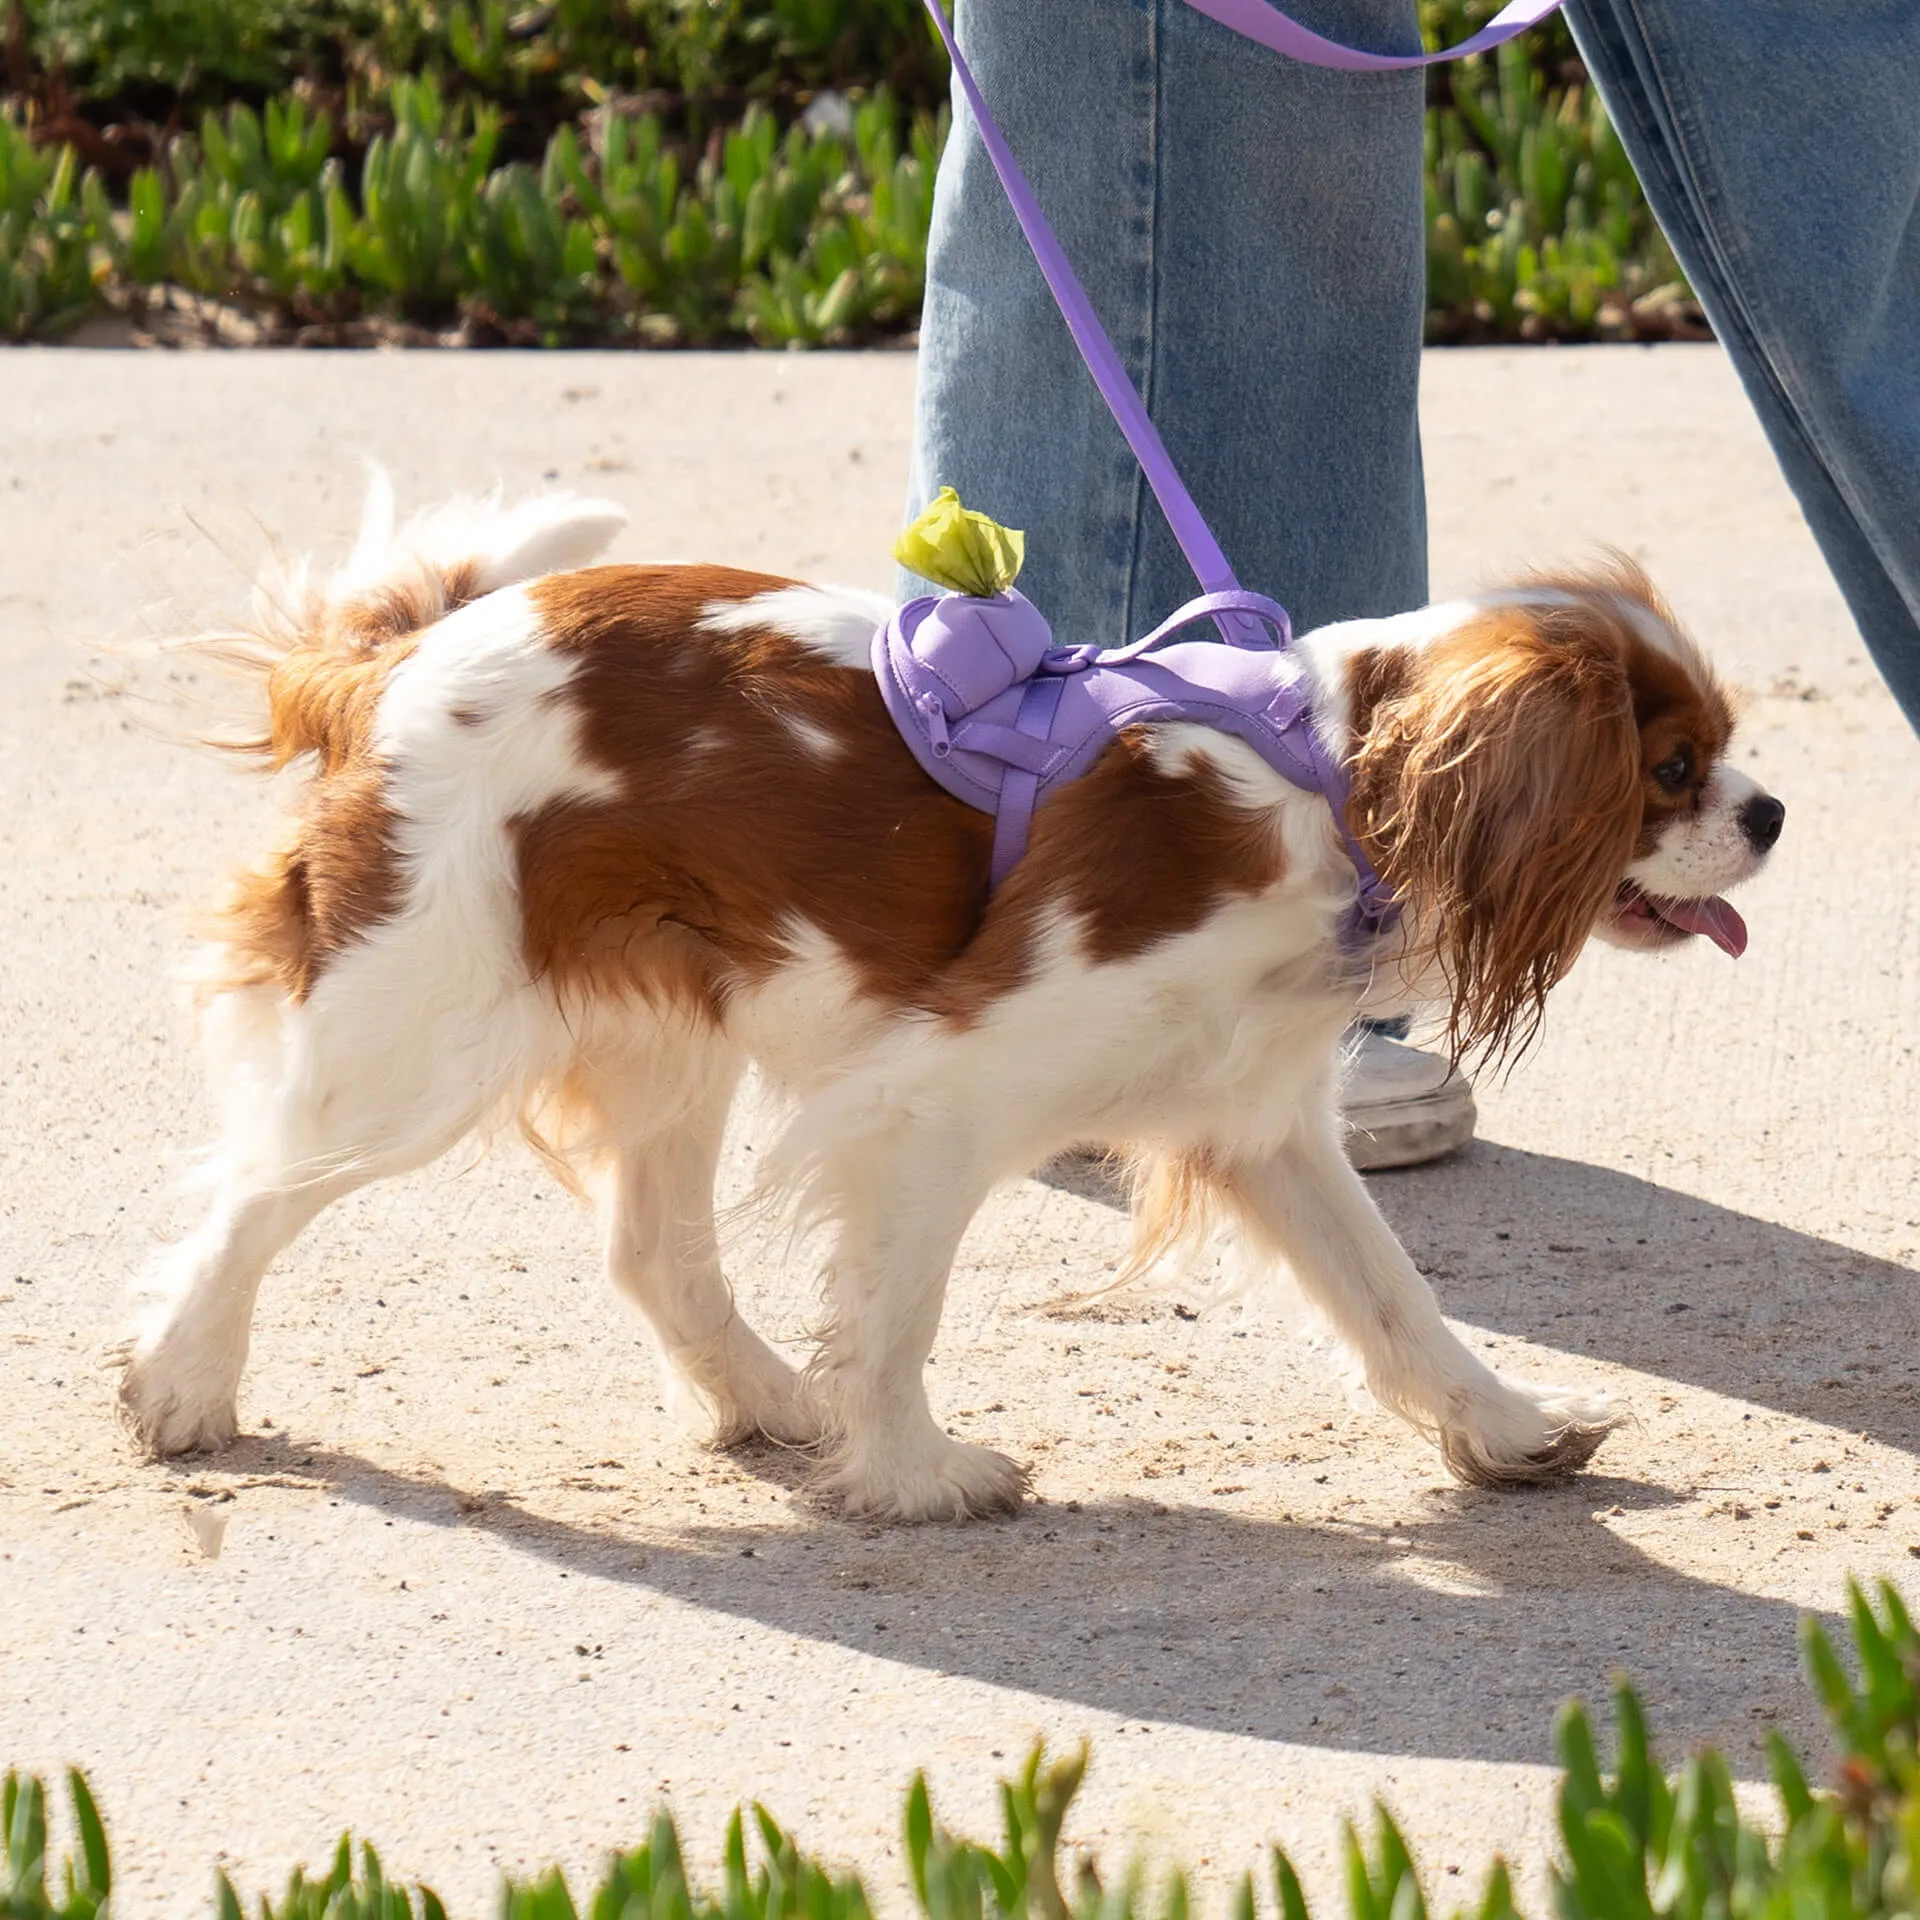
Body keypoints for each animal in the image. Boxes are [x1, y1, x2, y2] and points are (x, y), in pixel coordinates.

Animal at [116, 487, 1781, 1520]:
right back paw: (181, 1387)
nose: (1771, 814)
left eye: (1723, 749)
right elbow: (900, 1310)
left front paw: (1507, 1429)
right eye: (1672, 769)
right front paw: (917, 1476)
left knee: (650, 1246)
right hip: (421, 1027)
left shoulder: (1259, 1122)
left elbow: (1394, 1299)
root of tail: (403, 656)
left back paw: (762, 1399)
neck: (1322, 785)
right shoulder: (943, 1098)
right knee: (255, 1189)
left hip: (669, 1027)